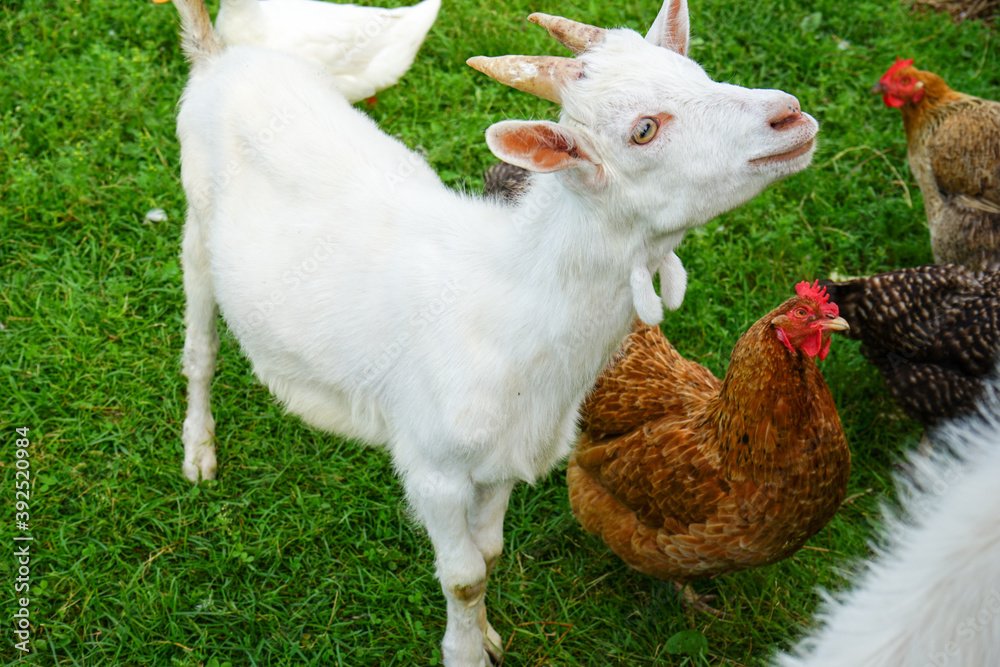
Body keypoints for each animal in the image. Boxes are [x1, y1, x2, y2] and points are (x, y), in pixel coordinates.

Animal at [168, 0, 818, 664]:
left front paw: (484, 634)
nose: (788, 114)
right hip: (195, 226)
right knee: (200, 350)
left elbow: (489, 555)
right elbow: (463, 576)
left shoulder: (507, 455)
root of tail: (219, 59)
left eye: (699, 72)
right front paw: (464, 650)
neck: (508, 303)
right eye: (643, 130)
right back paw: (199, 450)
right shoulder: (431, 468)